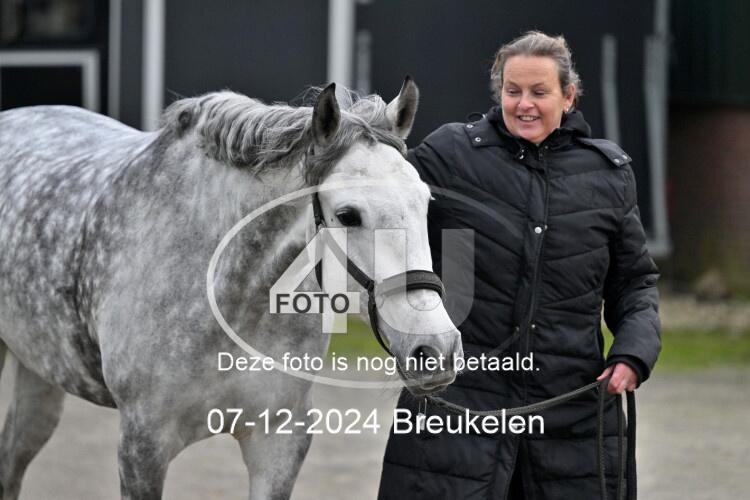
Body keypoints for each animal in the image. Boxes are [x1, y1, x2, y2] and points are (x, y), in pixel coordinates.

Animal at [0, 79, 463, 499]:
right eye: (348, 215)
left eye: (425, 202)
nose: (435, 350)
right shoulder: (141, 445)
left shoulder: (279, 440)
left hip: (39, 373)